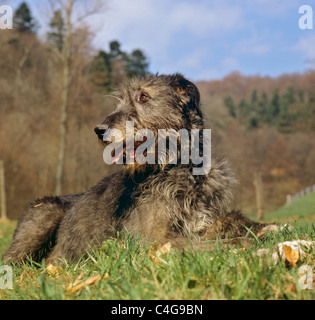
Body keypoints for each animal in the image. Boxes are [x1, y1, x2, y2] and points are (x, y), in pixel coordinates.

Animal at [4, 74, 272, 264]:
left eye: (143, 97)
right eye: (120, 101)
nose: (99, 130)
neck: (179, 169)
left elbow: (227, 220)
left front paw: (263, 227)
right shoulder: (151, 240)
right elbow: (203, 245)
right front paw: (248, 246)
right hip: (44, 211)